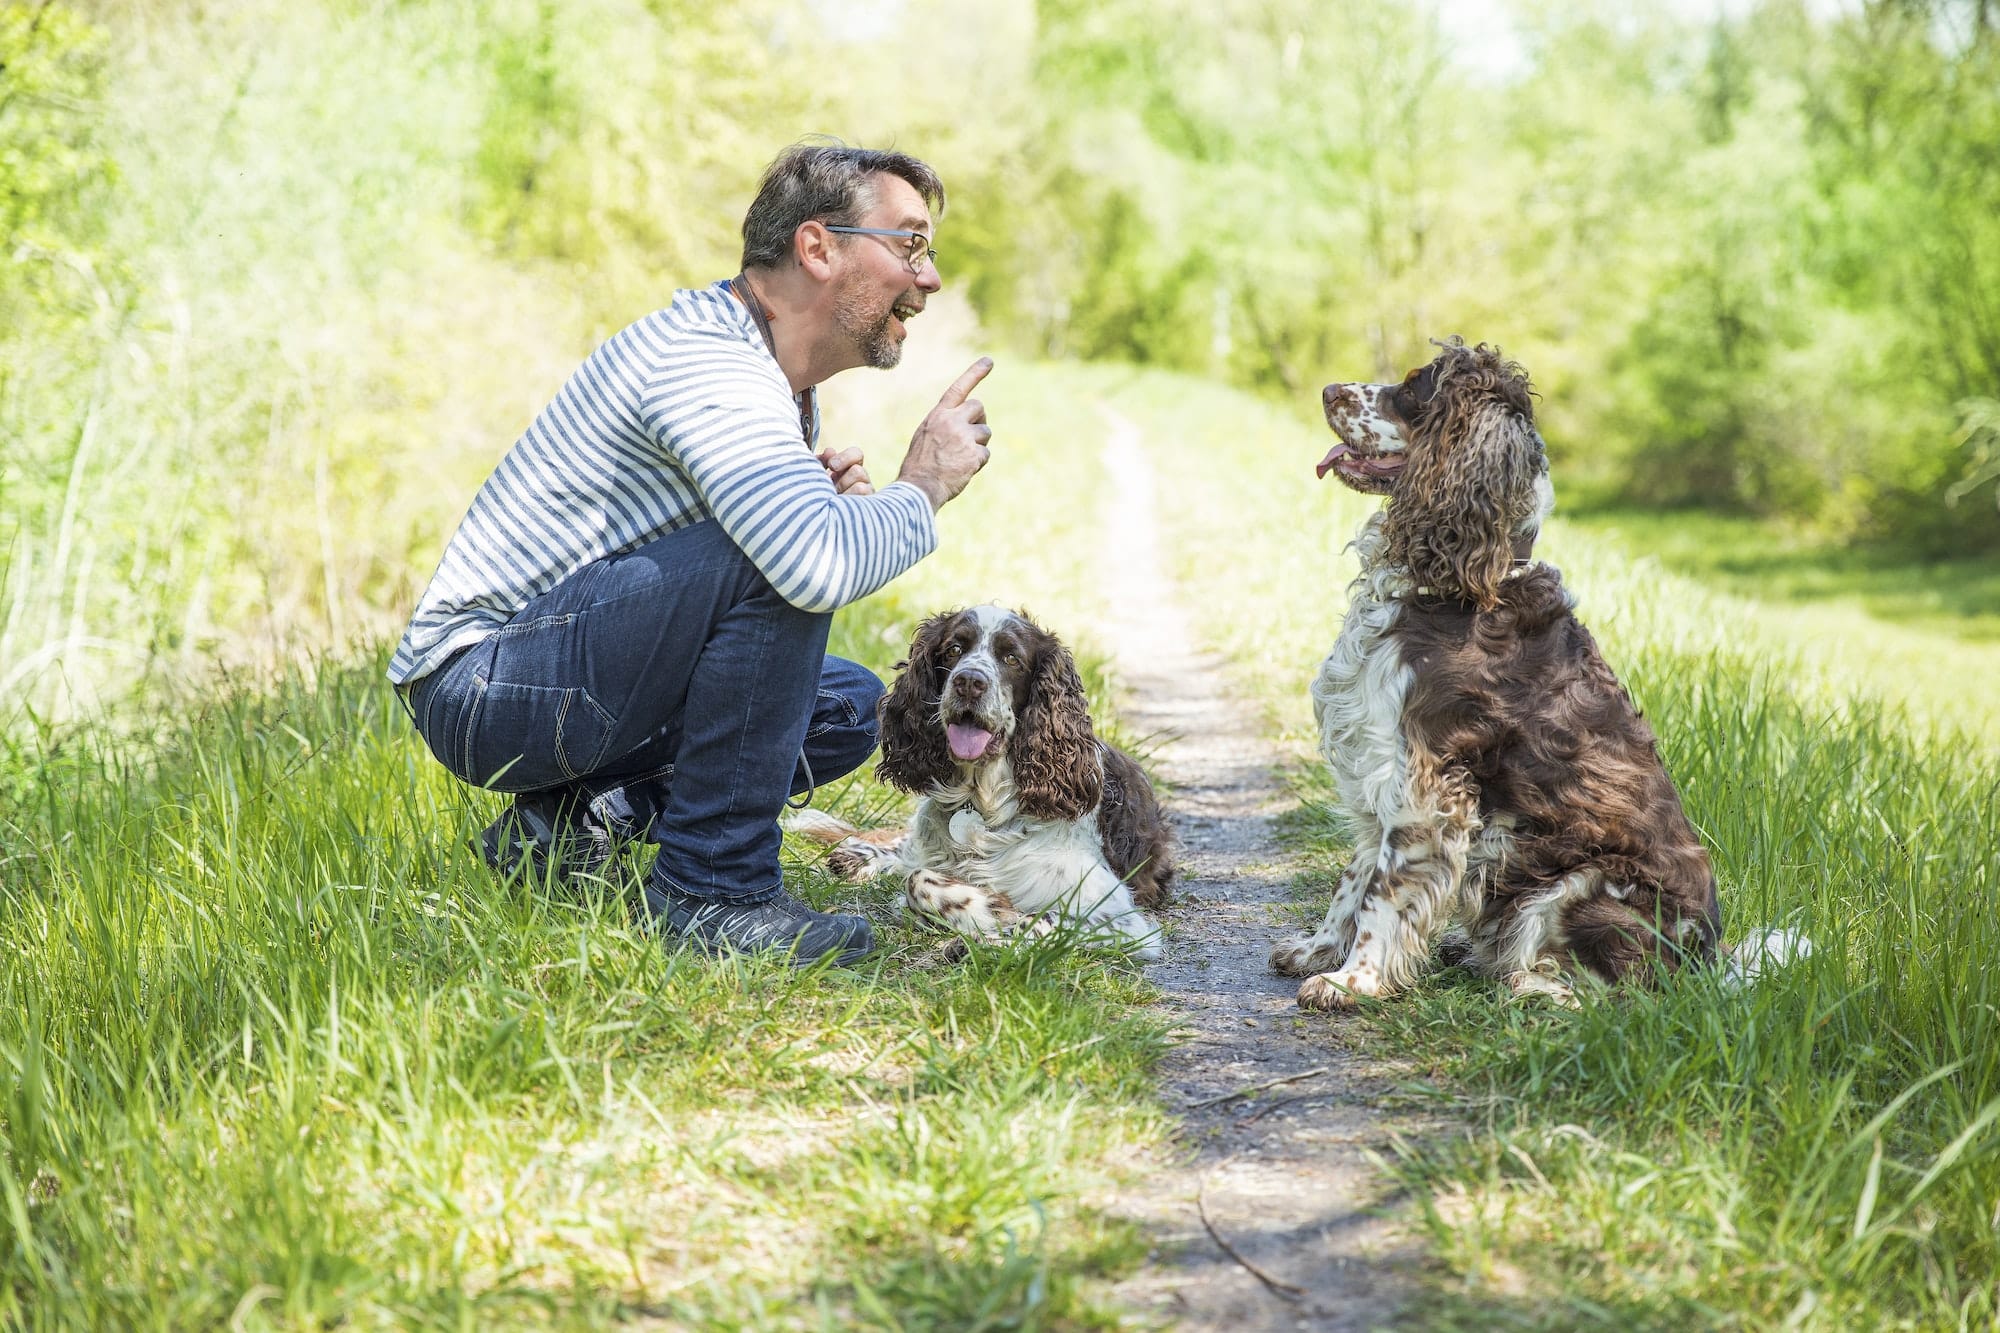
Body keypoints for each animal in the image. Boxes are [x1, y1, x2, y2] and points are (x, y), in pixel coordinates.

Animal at [788, 600, 1168, 956]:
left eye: (1012, 658)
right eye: (955, 649)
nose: (969, 682)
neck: (981, 802)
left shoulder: (1116, 916)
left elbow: (1039, 922)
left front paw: (989, 929)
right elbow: (917, 879)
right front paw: (988, 909)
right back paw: (857, 855)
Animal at [1272, 334, 1808, 1008]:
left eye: (1415, 387)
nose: (1327, 391)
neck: (1466, 582)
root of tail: (1708, 964)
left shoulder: (1426, 779)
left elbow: (1382, 890)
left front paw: (1353, 980)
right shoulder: (1380, 761)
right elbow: (1353, 876)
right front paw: (1317, 950)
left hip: (1580, 881)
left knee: (1619, 995)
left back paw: (1525, 984)